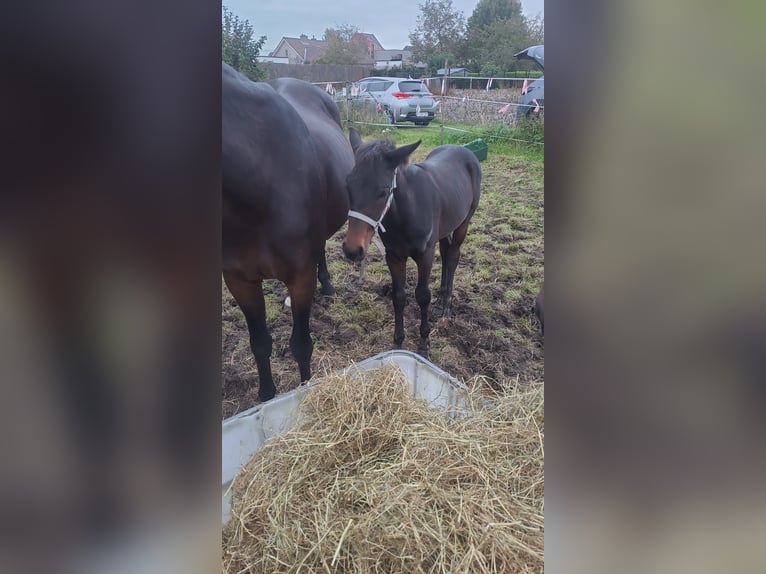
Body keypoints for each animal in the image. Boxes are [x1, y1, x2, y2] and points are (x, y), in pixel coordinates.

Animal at [222, 64, 354, 400]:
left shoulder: (300, 276)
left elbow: (301, 345)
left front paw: (305, 391)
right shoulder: (239, 281)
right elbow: (259, 343)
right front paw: (266, 396)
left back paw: (327, 284)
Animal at [342, 128, 480, 358]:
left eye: (383, 190)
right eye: (348, 185)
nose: (352, 250)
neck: (406, 212)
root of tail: (464, 150)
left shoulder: (425, 255)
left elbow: (422, 296)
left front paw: (424, 343)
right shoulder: (393, 256)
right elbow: (398, 297)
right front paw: (398, 343)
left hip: (464, 222)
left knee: (453, 257)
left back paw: (446, 307)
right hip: (445, 227)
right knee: (446, 254)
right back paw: (440, 303)